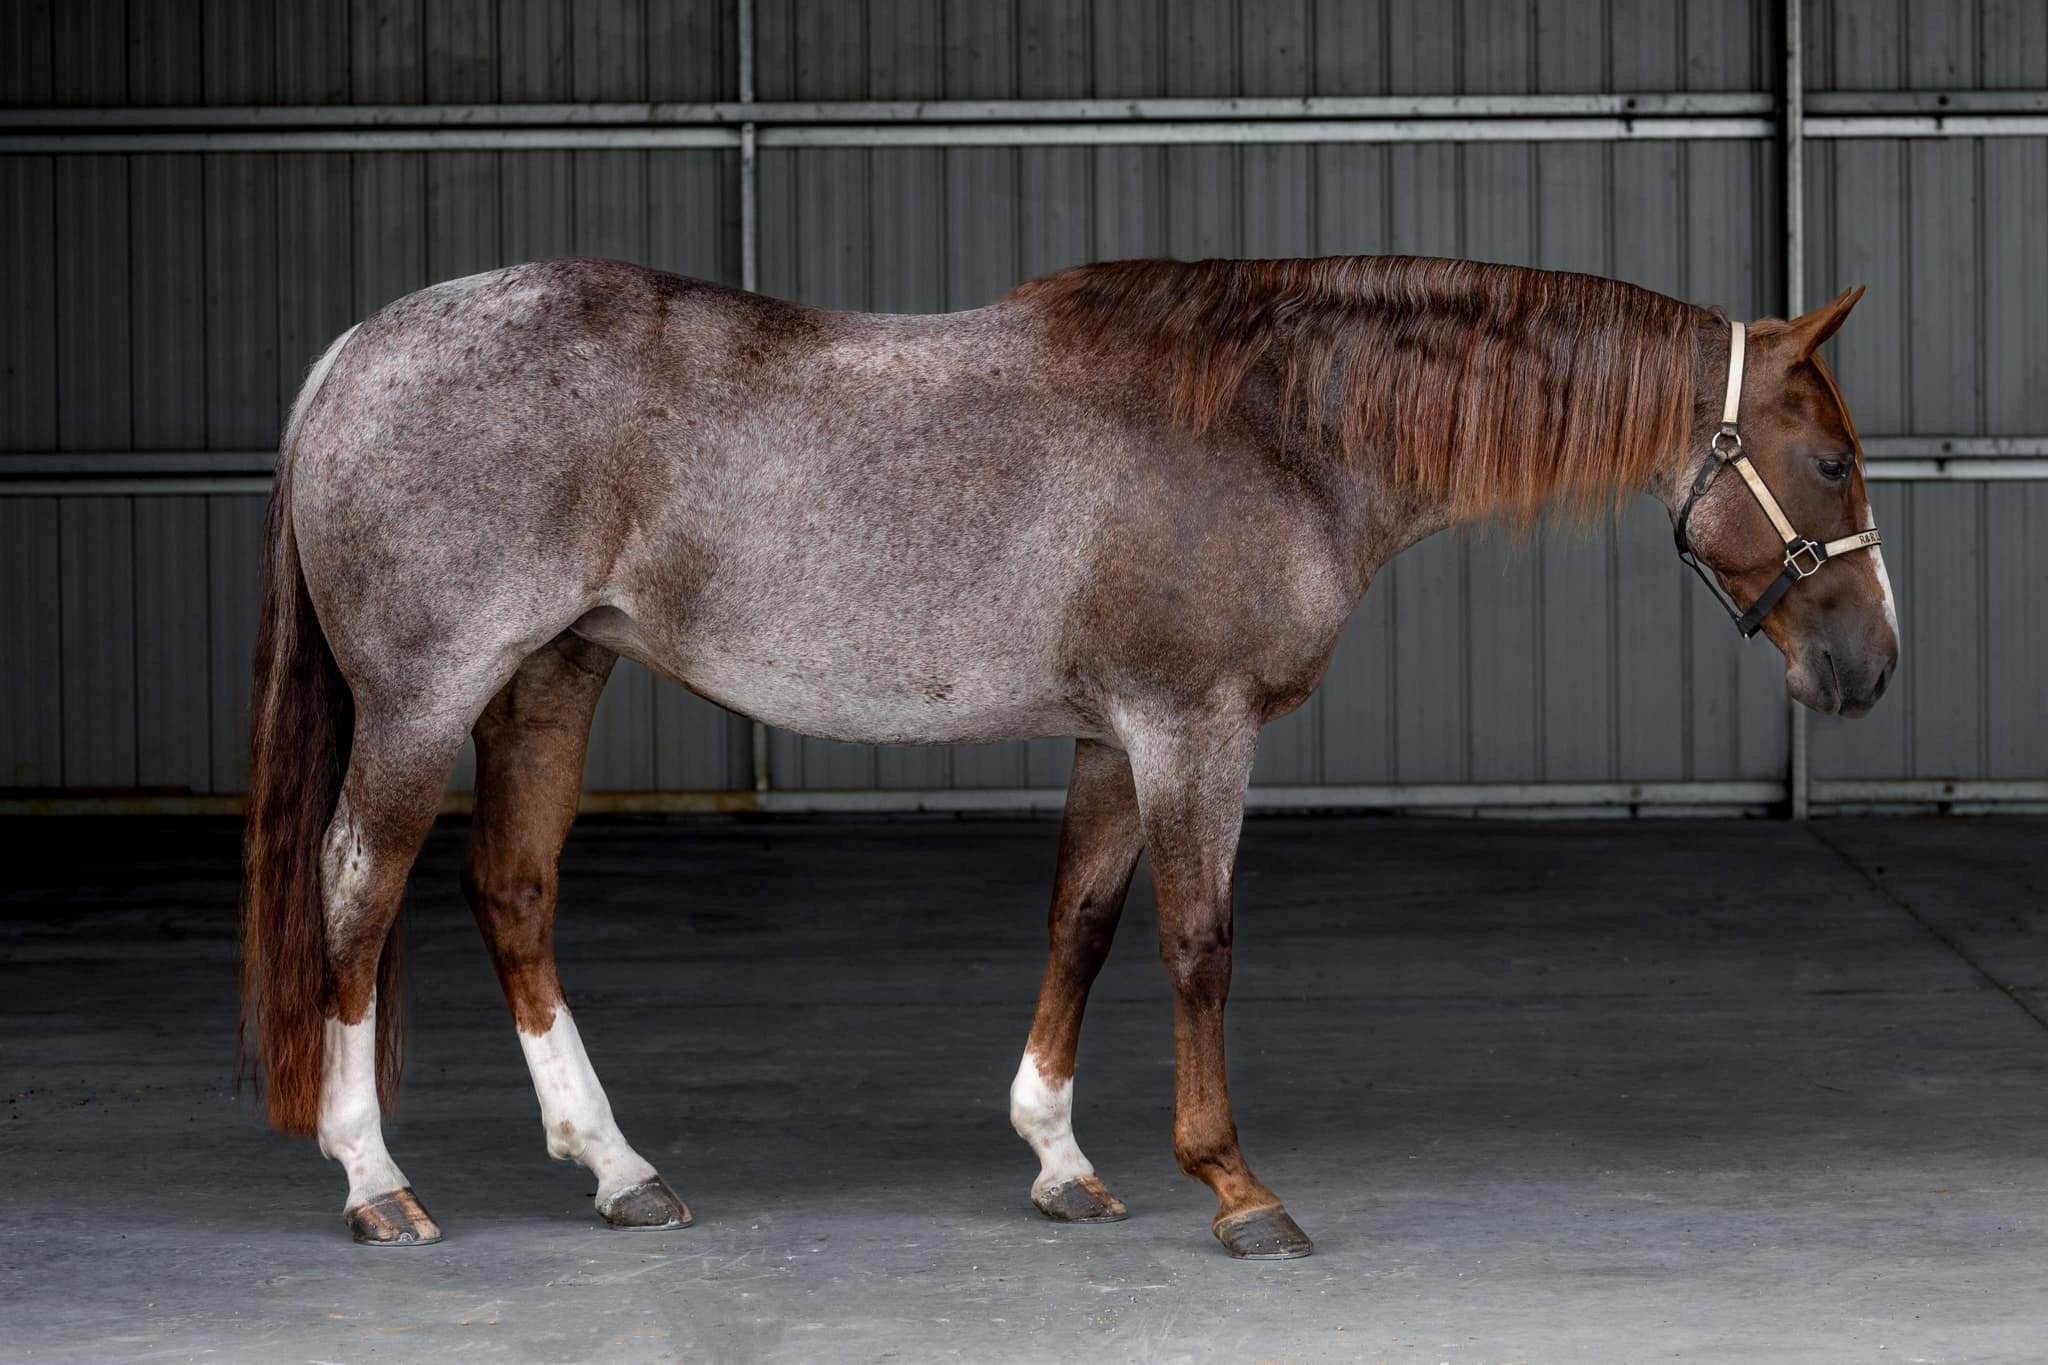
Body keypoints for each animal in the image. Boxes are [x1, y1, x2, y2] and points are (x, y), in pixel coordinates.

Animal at [241, 254, 1897, 1259]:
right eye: (1826, 459)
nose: (1868, 668)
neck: (1275, 427)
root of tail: (351, 355)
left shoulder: (1116, 739)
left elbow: (1083, 928)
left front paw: (1060, 1157)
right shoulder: (1193, 730)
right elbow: (1199, 942)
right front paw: (1235, 1186)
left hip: (553, 675)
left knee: (511, 891)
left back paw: (620, 1170)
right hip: (425, 698)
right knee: (358, 889)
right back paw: (376, 1180)